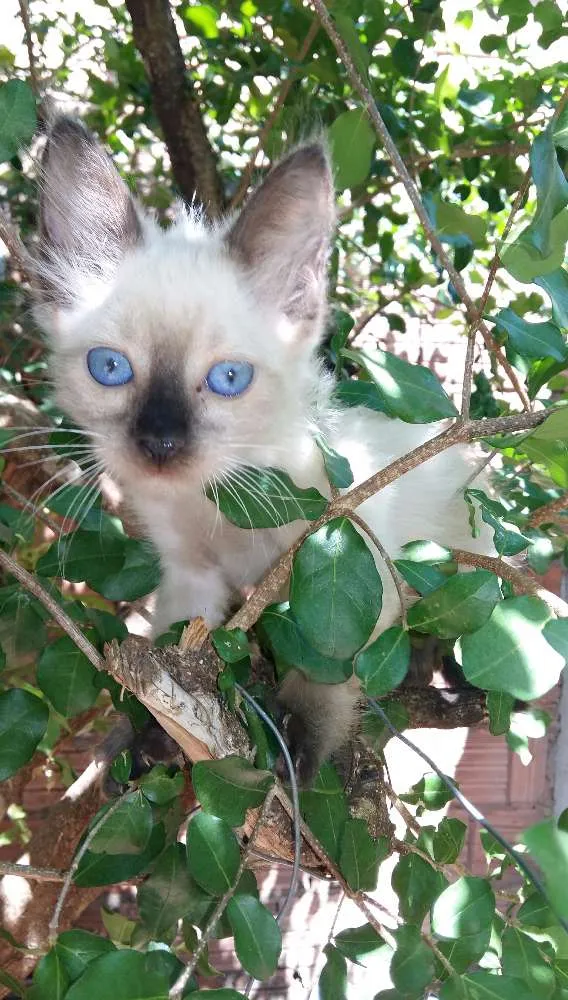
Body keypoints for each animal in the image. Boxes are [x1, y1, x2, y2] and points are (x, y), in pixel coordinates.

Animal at [33, 117, 492, 784]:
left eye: (228, 379)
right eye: (110, 368)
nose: (159, 443)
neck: (214, 499)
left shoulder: (348, 565)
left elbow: (325, 671)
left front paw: (294, 750)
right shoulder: (190, 576)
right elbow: (178, 660)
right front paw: (155, 739)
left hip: (463, 553)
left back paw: (446, 674)